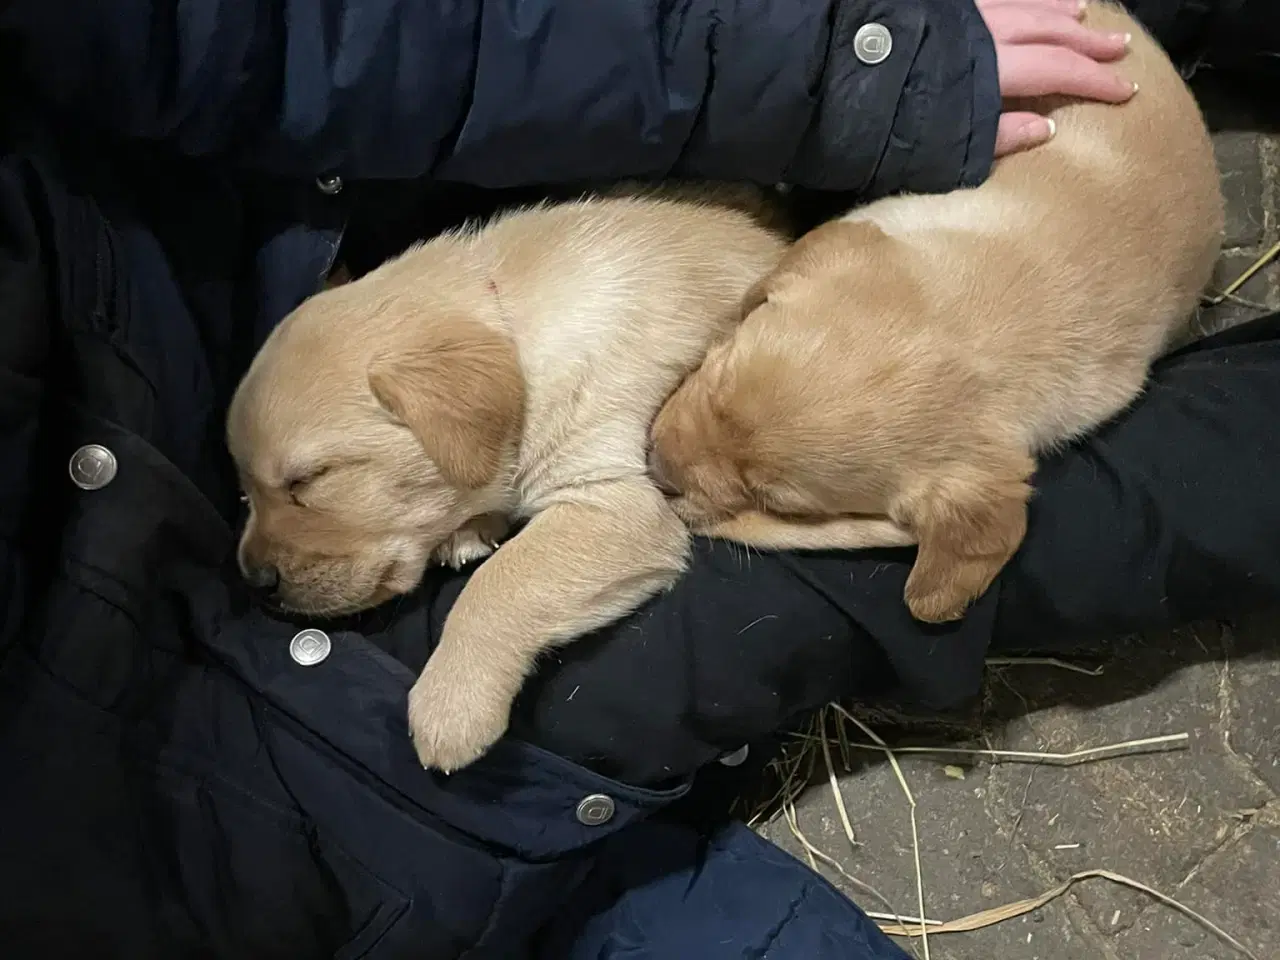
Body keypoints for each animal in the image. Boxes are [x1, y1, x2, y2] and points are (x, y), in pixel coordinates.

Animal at [230, 188, 788, 773]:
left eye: (308, 481)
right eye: (244, 492)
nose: (254, 581)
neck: (516, 329)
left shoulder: (618, 502)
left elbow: (502, 581)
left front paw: (451, 703)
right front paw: (469, 531)